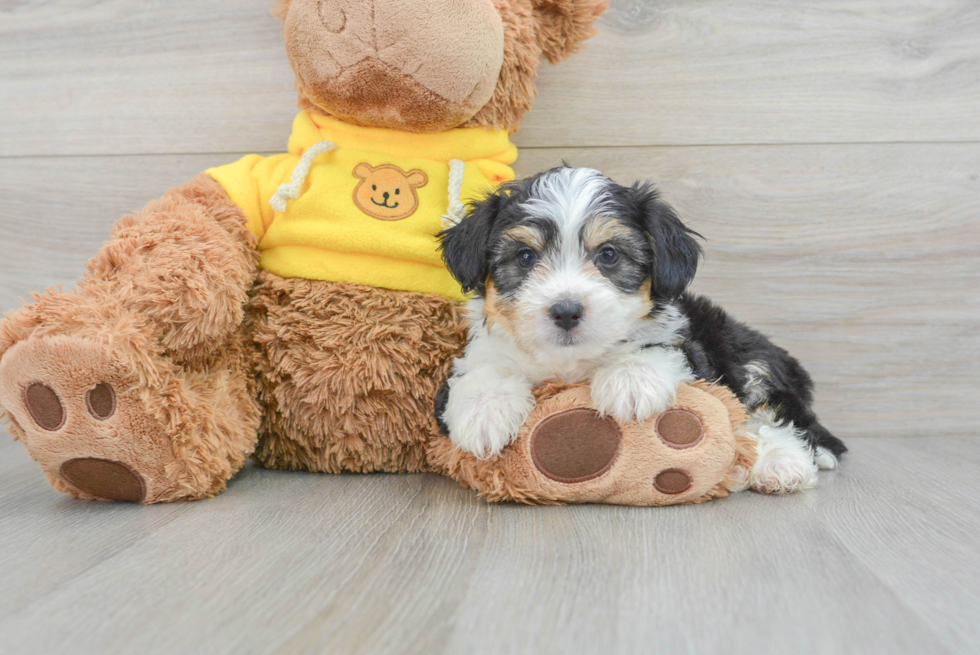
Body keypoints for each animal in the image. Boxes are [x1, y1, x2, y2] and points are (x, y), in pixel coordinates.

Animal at [436, 167, 844, 494]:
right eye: (525, 257)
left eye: (609, 255)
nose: (566, 310)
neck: (570, 363)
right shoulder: (476, 356)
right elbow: (484, 369)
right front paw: (485, 413)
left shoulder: (686, 347)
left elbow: (653, 350)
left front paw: (629, 384)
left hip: (749, 360)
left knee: (772, 417)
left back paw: (781, 465)